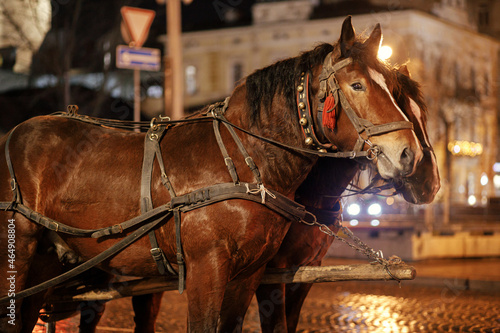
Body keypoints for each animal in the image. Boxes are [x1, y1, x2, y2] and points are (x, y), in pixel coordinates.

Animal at [0, 16, 422, 332]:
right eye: (357, 84)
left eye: (390, 87)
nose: (408, 153)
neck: (244, 161)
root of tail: (11, 134)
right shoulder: (207, 270)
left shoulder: (248, 274)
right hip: (18, 256)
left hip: (46, 264)